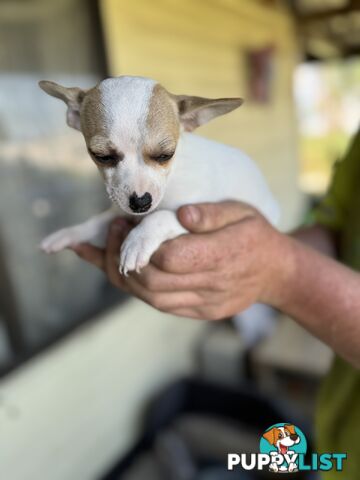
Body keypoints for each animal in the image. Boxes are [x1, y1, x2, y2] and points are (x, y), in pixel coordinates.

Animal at [40, 77, 282, 276]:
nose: (141, 202)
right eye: (102, 157)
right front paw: (68, 233)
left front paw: (137, 241)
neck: (172, 177)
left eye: (166, 155)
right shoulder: (120, 210)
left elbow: (162, 216)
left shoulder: (194, 213)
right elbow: (96, 220)